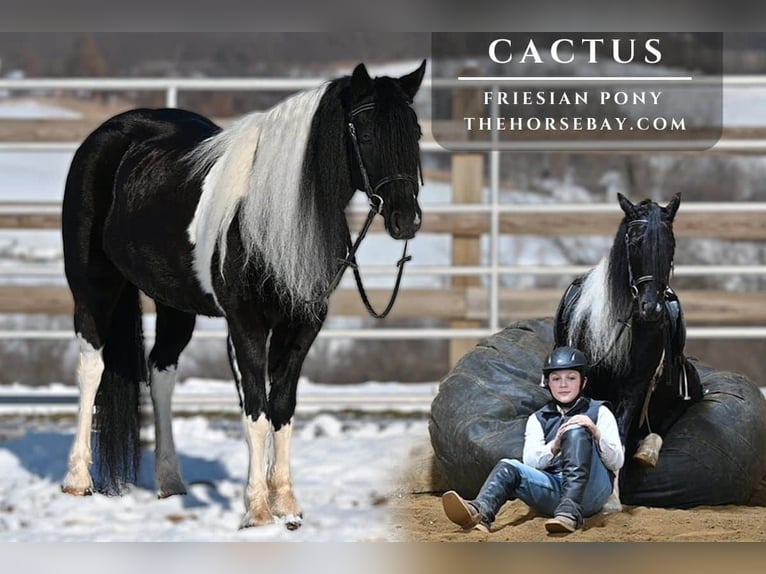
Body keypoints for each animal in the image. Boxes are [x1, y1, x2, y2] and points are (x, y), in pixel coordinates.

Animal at [60, 60, 426, 530]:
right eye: (363, 134)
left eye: (415, 131)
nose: (406, 220)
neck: (277, 215)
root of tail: (112, 132)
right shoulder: (246, 324)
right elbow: (256, 408)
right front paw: (257, 510)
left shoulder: (303, 325)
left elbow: (283, 405)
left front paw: (287, 503)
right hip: (93, 288)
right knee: (92, 367)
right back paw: (77, 479)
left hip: (174, 305)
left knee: (161, 373)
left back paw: (171, 482)